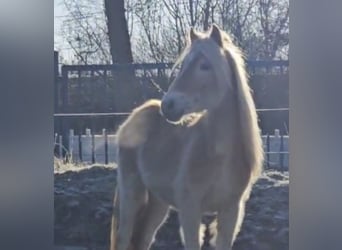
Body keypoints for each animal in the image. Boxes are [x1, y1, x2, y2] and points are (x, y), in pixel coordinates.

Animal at [111, 23, 264, 250]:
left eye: (205, 66)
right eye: (183, 66)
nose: (168, 106)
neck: (218, 155)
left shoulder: (231, 211)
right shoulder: (190, 209)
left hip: (158, 202)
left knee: (143, 239)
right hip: (132, 195)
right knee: (124, 237)